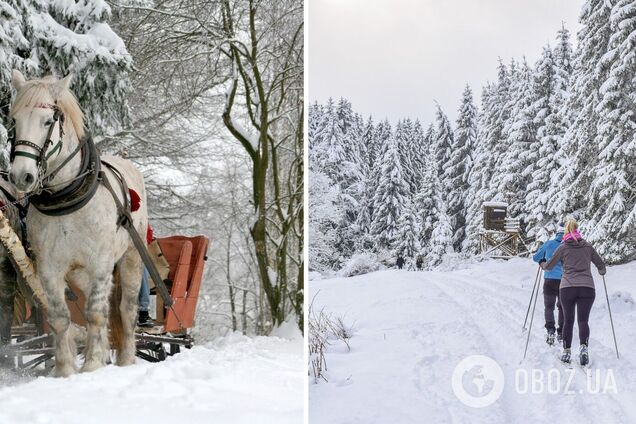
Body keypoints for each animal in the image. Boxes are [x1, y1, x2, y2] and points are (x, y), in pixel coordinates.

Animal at [8, 71, 148, 376]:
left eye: (48, 121)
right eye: (14, 121)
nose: (21, 176)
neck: (67, 196)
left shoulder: (101, 264)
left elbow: (95, 313)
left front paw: (93, 364)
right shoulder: (49, 268)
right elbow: (61, 317)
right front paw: (65, 370)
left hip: (131, 257)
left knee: (126, 309)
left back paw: (126, 359)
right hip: (79, 274)